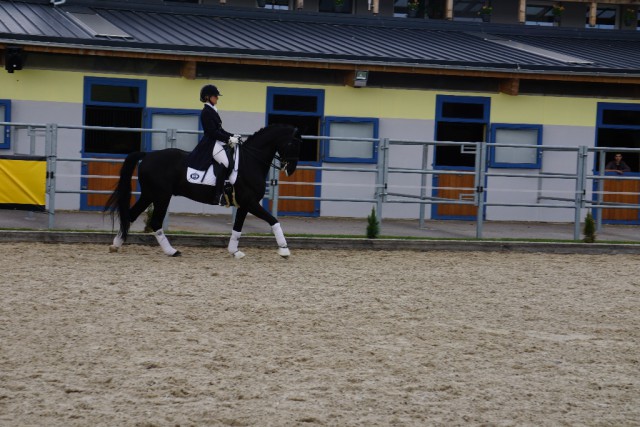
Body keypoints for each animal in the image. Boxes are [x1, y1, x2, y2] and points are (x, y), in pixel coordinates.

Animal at [106, 123, 302, 258]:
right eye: (293, 143)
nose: (291, 169)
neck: (251, 161)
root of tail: (148, 155)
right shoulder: (251, 202)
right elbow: (273, 220)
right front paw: (284, 250)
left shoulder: (244, 204)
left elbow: (237, 228)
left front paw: (234, 251)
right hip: (161, 196)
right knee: (155, 222)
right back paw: (172, 251)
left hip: (149, 194)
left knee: (131, 215)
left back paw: (116, 245)